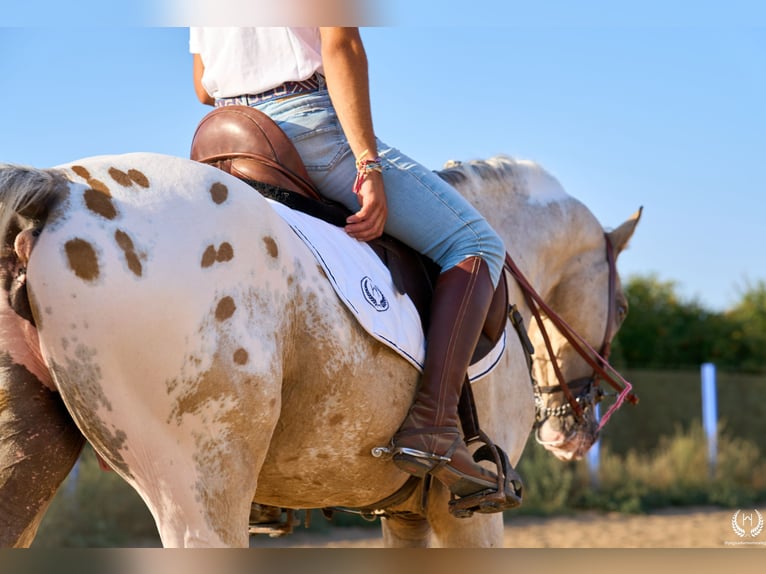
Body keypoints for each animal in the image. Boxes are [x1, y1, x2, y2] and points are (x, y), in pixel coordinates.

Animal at [0, 152, 640, 547]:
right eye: (625, 309)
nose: (568, 433)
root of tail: (59, 187)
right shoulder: (467, 517)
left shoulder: (406, 514)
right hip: (200, 491)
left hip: (31, 460)